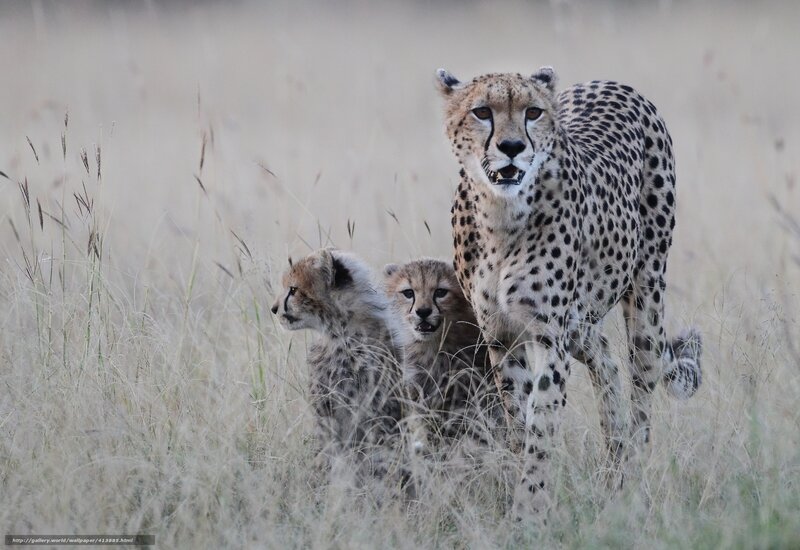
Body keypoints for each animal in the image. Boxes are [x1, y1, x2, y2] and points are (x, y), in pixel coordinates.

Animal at [435, 66, 703, 520]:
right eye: (482, 111)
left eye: (533, 112)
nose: (512, 148)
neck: (500, 215)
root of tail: (614, 83)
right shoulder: (501, 337)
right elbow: (519, 421)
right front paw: (522, 494)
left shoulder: (549, 336)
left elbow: (541, 425)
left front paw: (529, 511)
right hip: (580, 322)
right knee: (606, 363)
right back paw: (613, 460)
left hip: (645, 298)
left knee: (642, 387)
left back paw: (630, 481)